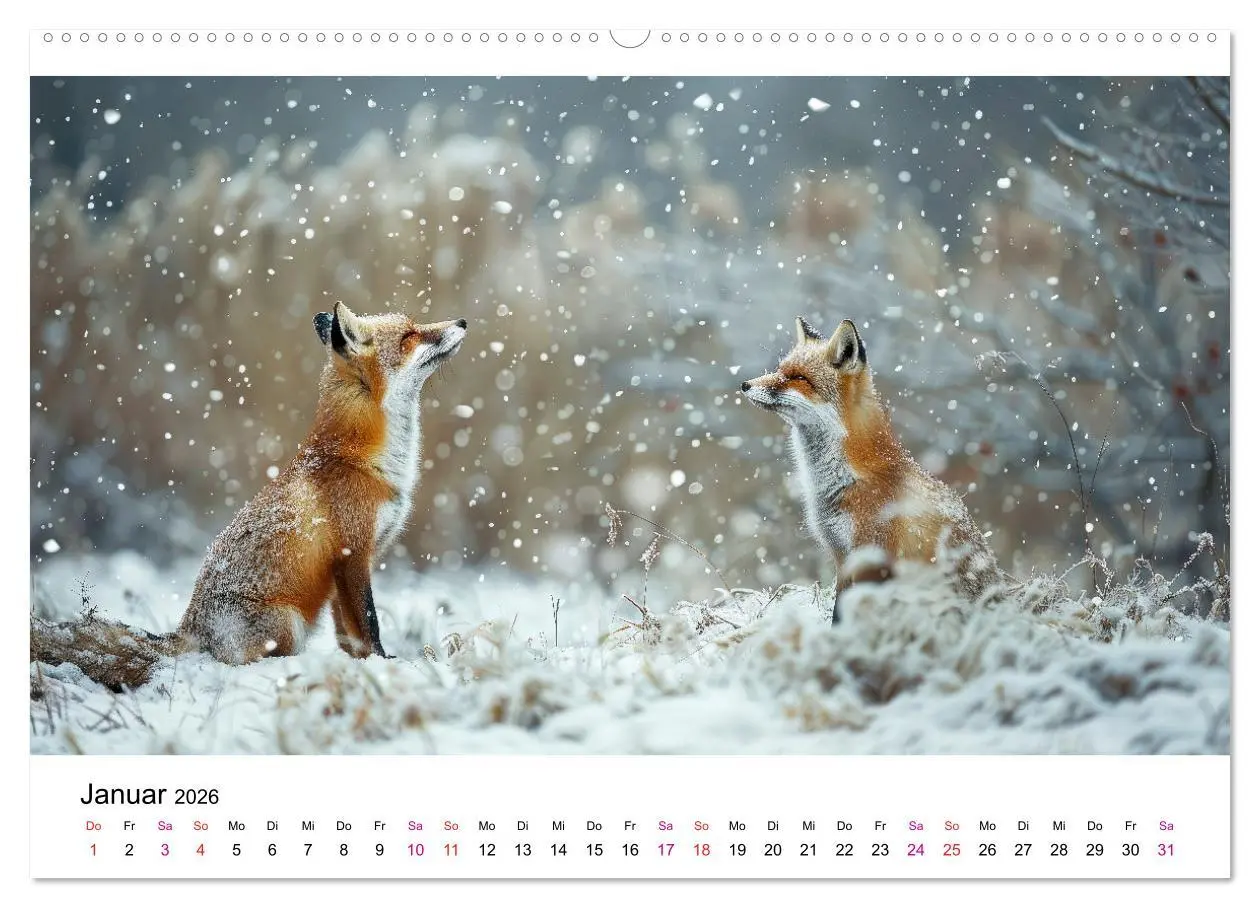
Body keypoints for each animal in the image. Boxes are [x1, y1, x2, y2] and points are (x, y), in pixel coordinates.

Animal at [32, 303, 467, 687]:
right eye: (410, 335)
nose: (462, 321)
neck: (361, 458)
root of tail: (189, 630)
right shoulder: (352, 555)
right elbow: (369, 623)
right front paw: (384, 663)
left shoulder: (345, 568)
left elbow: (348, 633)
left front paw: (361, 666)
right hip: (288, 624)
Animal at [741, 316, 1000, 625]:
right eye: (781, 370)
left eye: (799, 378)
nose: (744, 384)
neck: (844, 480)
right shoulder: (842, 557)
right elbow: (838, 613)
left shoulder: (870, 557)